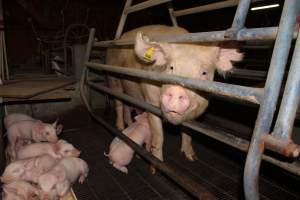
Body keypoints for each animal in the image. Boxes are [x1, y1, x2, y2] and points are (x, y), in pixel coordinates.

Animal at [106, 24, 243, 162]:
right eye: (171, 67)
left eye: (204, 73)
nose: (177, 90)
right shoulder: (150, 101)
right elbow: (158, 136)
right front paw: (157, 163)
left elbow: (188, 132)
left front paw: (192, 157)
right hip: (113, 78)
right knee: (118, 102)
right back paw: (120, 127)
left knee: (127, 104)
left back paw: (128, 124)